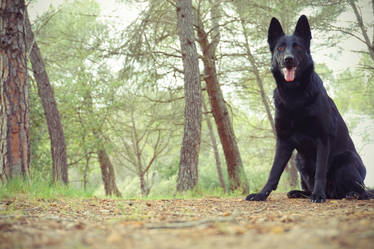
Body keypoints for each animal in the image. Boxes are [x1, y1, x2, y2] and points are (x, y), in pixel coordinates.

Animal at [244, 15, 370, 202]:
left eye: (297, 47)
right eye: (280, 48)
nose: (288, 59)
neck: (294, 96)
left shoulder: (322, 138)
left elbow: (320, 171)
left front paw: (318, 195)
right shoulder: (283, 141)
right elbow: (274, 172)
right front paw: (261, 194)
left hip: (347, 160)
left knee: (363, 192)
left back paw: (351, 194)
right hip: (299, 160)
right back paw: (299, 192)